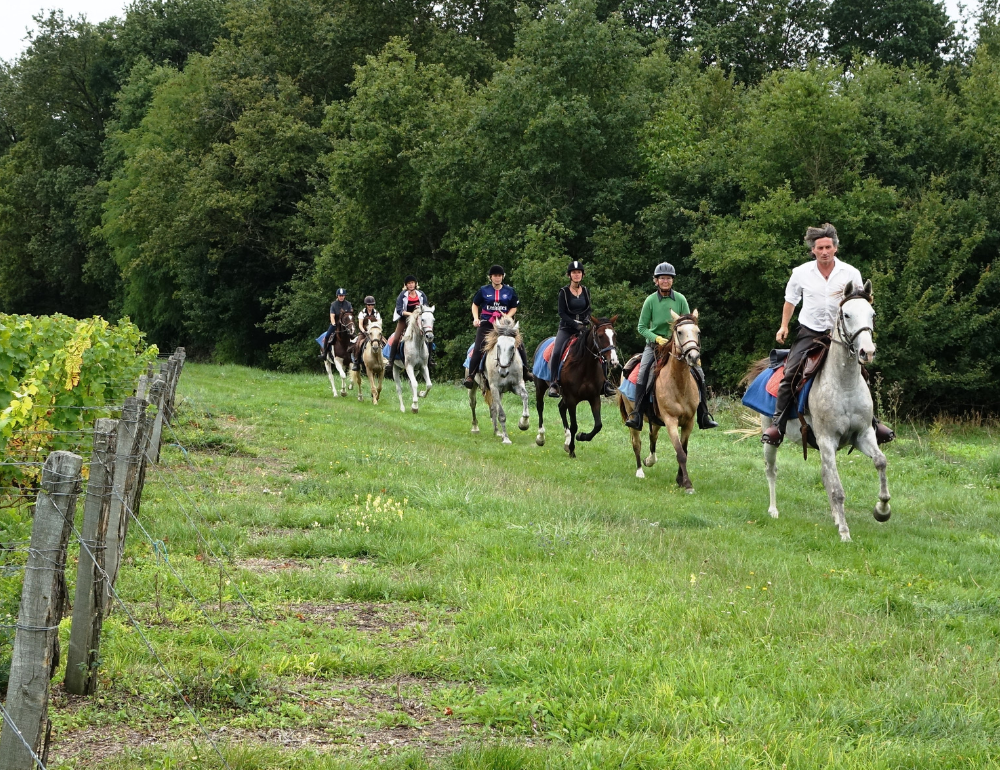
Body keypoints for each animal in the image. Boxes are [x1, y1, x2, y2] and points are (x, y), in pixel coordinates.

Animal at [468, 314, 532, 444]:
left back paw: (497, 431)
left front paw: (523, 424)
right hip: (473, 386)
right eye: (498, 346)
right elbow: (502, 415)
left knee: (493, 408)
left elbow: (525, 396)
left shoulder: (517, 385)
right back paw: (475, 428)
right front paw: (506, 438)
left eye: (512, 347)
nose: (503, 372)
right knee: (473, 403)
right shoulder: (495, 388)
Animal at [532, 316, 616, 460]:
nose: (614, 361)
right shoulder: (571, 399)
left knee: (561, 408)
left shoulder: (594, 398)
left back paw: (566, 441)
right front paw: (572, 450)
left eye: (614, 335)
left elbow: (598, 425)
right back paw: (541, 437)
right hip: (541, 386)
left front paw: (581, 436)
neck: (585, 367)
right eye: (600, 336)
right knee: (540, 407)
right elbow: (574, 425)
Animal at [616, 308, 704, 488]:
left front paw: (680, 479)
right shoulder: (671, 421)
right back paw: (640, 471)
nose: (693, 357)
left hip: (655, 420)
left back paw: (650, 460)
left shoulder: (689, 422)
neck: (679, 384)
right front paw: (687, 484)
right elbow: (680, 452)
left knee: (653, 437)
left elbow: (684, 450)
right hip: (632, 416)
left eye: (698, 332)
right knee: (636, 443)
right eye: (679, 332)